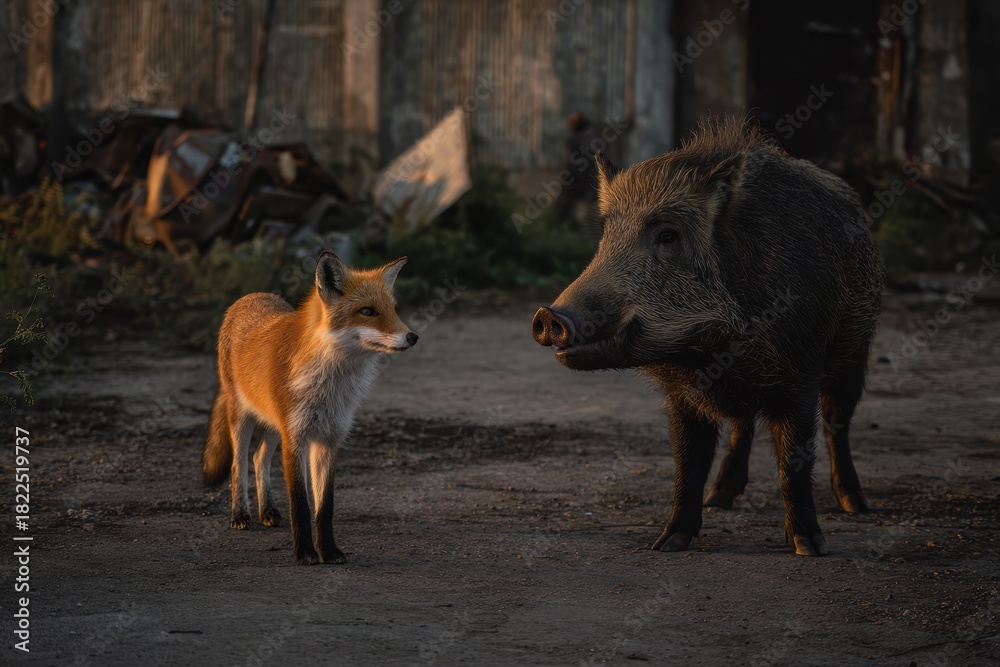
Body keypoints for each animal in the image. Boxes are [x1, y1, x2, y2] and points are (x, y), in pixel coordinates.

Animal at [202, 251, 418, 565]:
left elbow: (324, 507)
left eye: (393, 309)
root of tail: (253, 295)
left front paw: (328, 550)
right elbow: (301, 504)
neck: (329, 385)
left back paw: (267, 511)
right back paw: (240, 515)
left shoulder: (329, 439)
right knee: (238, 464)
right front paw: (304, 551)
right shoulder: (296, 438)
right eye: (367, 311)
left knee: (259, 458)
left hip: (274, 424)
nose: (412, 337)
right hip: (242, 418)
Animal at [531, 119, 883, 556]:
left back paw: (855, 505)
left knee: (838, 423)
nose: (548, 315)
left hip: (856, 350)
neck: (710, 351)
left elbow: (793, 462)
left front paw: (808, 548)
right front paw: (667, 543)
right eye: (607, 234)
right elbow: (688, 464)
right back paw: (720, 499)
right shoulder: (681, 395)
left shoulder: (801, 374)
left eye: (668, 235)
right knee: (742, 426)